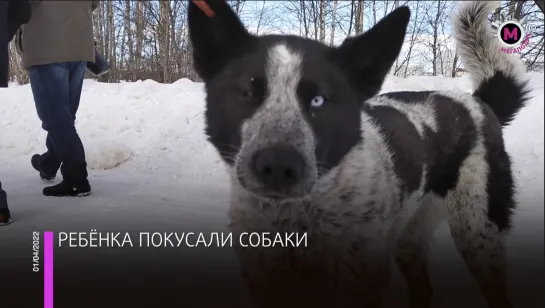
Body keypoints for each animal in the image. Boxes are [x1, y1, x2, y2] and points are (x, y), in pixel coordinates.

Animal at [189, 1, 528, 306]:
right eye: (247, 92)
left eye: (318, 100)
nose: (278, 166)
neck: (295, 224)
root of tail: (478, 101)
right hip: (410, 237)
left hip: (478, 233)